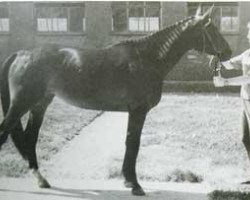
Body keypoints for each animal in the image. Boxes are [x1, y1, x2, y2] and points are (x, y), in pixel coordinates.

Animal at [0, 5, 230, 195]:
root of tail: (21, 54)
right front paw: (134, 184)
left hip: (39, 104)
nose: (228, 51)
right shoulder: (138, 110)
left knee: (30, 138)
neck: (147, 59)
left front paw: (128, 181)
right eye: (211, 28)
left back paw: (41, 179)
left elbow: (131, 143)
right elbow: (133, 144)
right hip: (21, 103)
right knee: (5, 132)